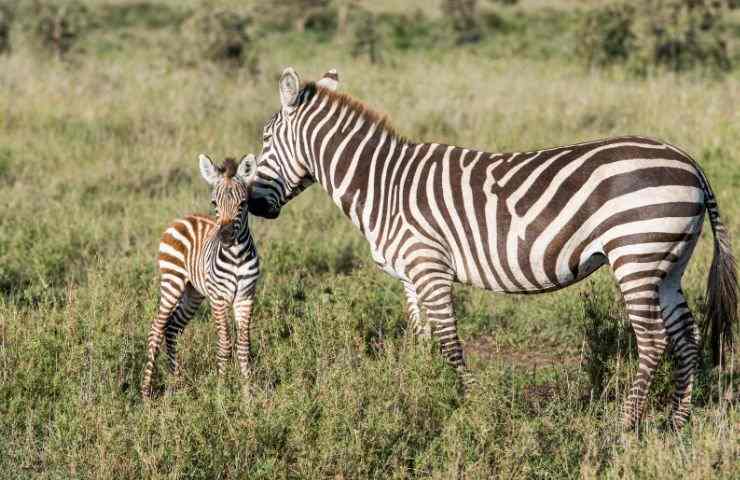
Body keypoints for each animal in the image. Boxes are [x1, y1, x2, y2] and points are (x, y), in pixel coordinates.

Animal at [143, 154, 262, 398]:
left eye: (243, 204)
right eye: (214, 203)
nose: (225, 236)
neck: (236, 256)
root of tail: (182, 218)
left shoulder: (246, 297)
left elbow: (244, 345)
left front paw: (248, 395)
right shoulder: (218, 298)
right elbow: (225, 343)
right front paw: (221, 391)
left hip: (194, 292)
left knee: (172, 327)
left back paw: (175, 381)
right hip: (172, 282)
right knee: (156, 329)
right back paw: (146, 392)